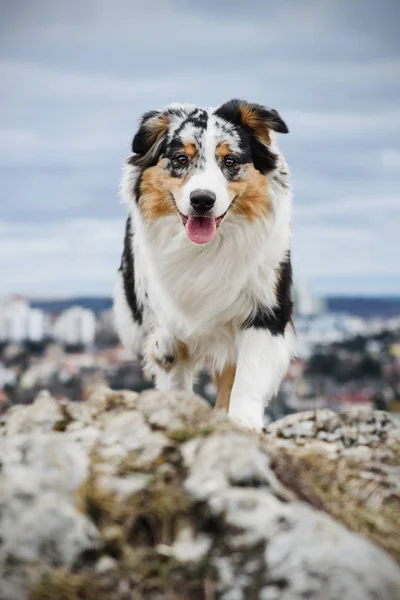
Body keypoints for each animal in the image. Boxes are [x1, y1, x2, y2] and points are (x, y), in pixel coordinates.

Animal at [114, 98, 296, 428]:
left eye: (230, 161)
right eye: (181, 159)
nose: (202, 200)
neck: (208, 249)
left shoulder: (266, 312)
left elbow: (248, 376)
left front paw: (244, 423)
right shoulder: (168, 333)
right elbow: (174, 380)